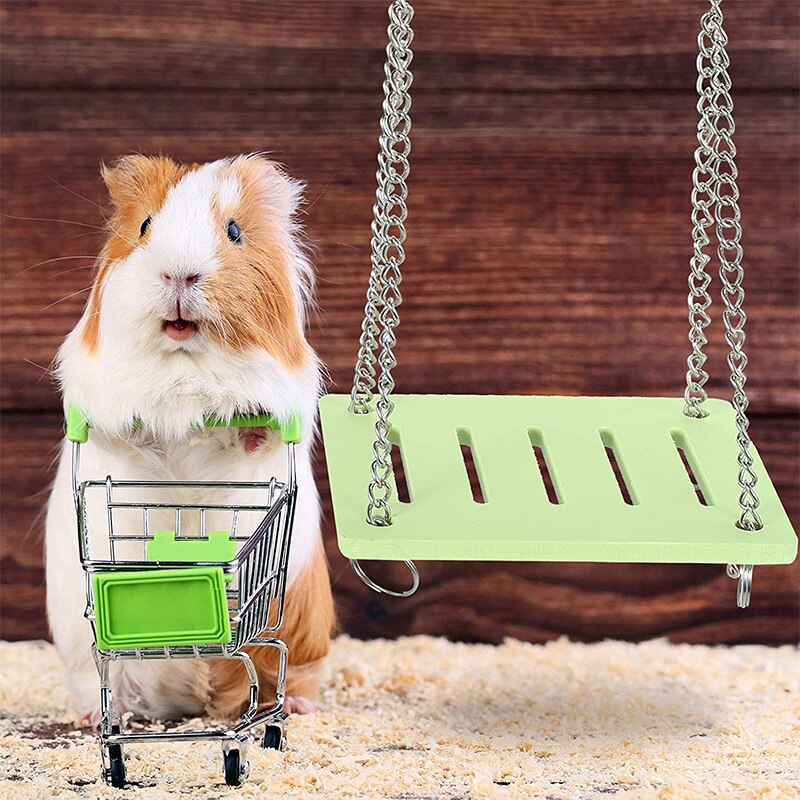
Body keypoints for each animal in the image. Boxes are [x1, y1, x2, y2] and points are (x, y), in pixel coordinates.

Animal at [45, 154, 334, 723]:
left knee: (290, 672)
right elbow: (131, 436)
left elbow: (255, 437)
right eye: (143, 226)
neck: (185, 371)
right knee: (104, 685)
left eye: (234, 231)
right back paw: (100, 719)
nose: (179, 272)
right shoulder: (101, 413)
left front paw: (243, 429)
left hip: (304, 627)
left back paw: (298, 708)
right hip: (82, 649)